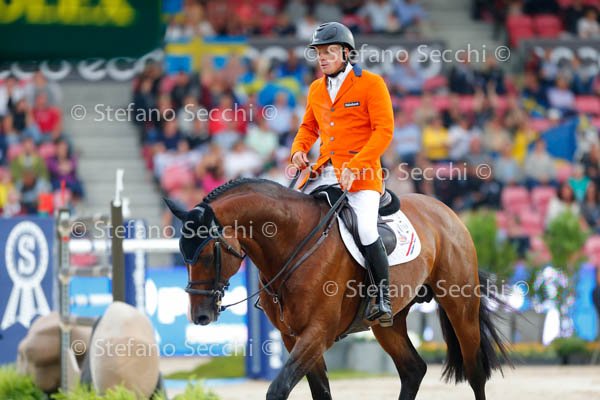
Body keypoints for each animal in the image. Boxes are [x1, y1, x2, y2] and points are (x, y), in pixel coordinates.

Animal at [165, 177, 511, 400]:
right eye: (183, 254)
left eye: (207, 255)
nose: (201, 316)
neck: (293, 243)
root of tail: (446, 211)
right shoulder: (293, 337)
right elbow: (321, 392)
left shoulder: (318, 332)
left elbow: (278, 389)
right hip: (388, 323)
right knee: (413, 370)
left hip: (460, 306)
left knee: (475, 371)